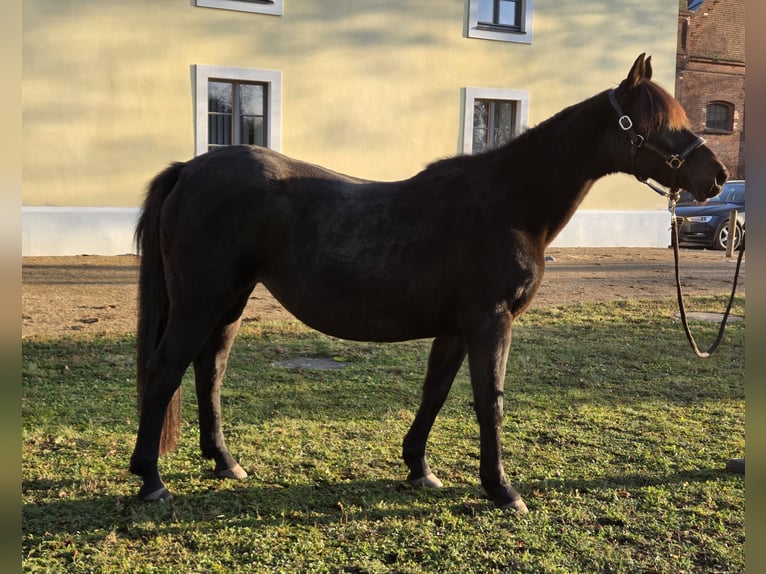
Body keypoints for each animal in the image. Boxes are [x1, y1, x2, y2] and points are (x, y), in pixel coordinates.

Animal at [129, 54, 727, 512]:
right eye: (658, 121)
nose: (717, 177)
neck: (507, 204)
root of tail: (190, 169)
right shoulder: (490, 322)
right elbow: (490, 402)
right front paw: (502, 490)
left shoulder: (456, 328)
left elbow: (435, 393)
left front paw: (419, 468)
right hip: (199, 302)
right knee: (164, 370)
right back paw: (151, 479)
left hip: (228, 302)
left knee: (209, 371)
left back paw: (225, 463)